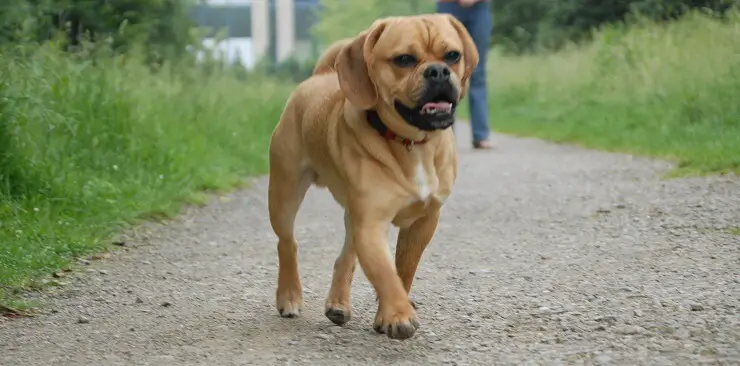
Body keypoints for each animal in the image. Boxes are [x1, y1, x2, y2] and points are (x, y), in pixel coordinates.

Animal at [266, 13, 480, 340]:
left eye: (453, 55)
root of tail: (319, 76)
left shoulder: (422, 222)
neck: (411, 143)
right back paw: (289, 296)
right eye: (404, 59)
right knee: (287, 243)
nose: (438, 71)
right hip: (285, 193)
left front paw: (387, 313)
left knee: (345, 257)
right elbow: (385, 272)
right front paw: (399, 315)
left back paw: (338, 303)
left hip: (352, 216)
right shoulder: (371, 223)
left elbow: (403, 270)